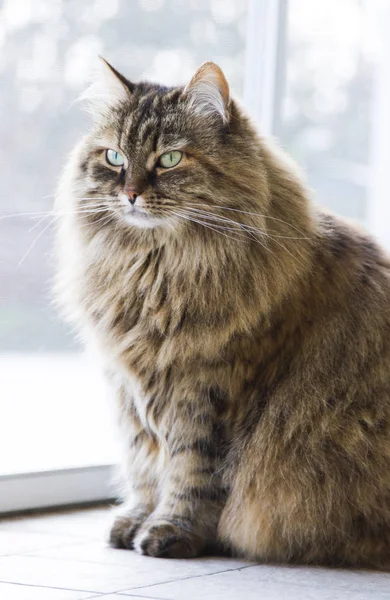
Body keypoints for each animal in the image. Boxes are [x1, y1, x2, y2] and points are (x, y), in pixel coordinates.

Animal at [55, 58, 390, 564]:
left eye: (169, 159)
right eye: (114, 157)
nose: (129, 193)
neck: (153, 271)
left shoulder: (208, 387)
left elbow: (189, 473)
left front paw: (170, 532)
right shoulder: (131, 392)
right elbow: (143, 466)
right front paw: (135, 521)